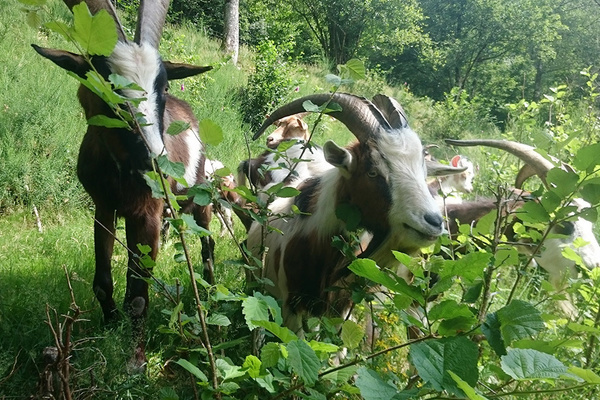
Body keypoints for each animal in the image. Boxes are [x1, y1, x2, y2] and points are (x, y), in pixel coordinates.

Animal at [33, 0, 216, 366]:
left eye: (163, 86)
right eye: (104, 83)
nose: (155, 161)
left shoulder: (147, 211)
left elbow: (138, 294)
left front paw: (136, 360)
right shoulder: (103, 207)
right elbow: (103, 281)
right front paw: (109, 326)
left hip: (199, 197)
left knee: (207, 245)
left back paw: (209, 292)